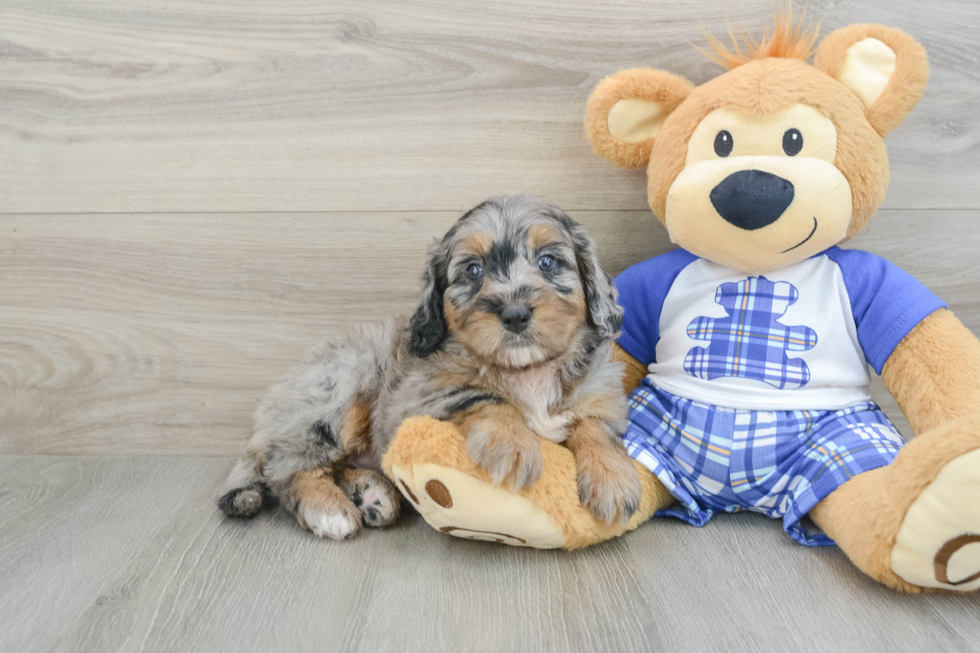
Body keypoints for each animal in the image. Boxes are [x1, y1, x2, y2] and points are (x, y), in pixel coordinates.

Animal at [217, 195, 640, 540]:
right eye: (473, 271)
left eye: (548, 262)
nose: (515, 314)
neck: (527, 372)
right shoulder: (419, 396)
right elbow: (486, 397)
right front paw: (513, 444)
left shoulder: (600, 391)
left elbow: (596, 427)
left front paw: (613, 477)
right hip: (340, 391)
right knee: (286, 468)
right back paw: (329, 508)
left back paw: (371, 495)